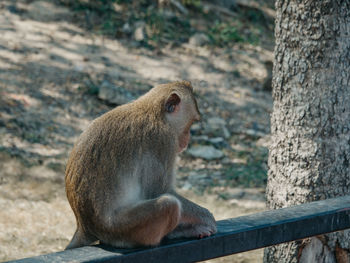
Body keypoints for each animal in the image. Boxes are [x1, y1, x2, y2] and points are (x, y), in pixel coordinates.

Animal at [63, 80, 216, 250]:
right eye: (191, 123)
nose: (187, 140)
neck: (154, 112)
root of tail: (84, 226)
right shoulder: (162, 141)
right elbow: (158, 191)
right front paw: (207, 216)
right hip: (119, 229)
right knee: (169, 204)